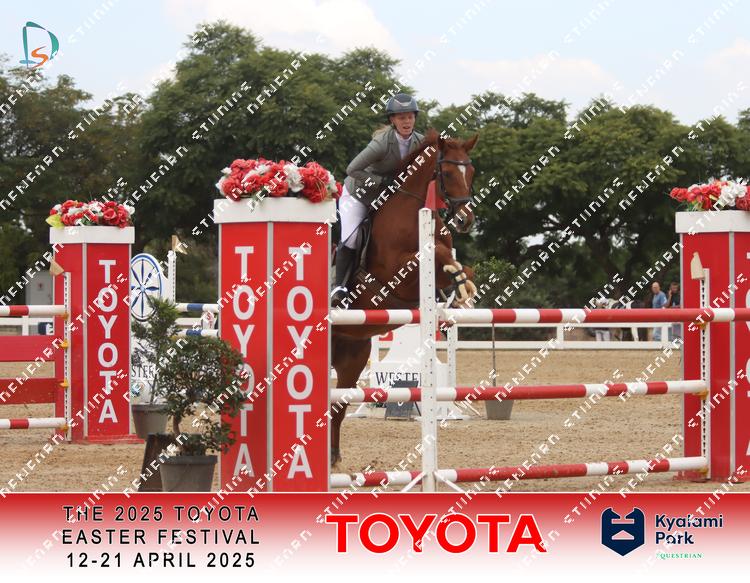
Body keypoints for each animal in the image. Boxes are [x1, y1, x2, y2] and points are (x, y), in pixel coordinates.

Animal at [330, 129, 479, 464]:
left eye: (472, 172)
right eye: (448, 172)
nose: (465, 220)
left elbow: (458, 265)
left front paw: (461, 291)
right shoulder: (397, 275)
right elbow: (436, 253)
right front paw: (460, 286)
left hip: (352, 354)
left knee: (337, 404)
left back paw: (332, 458)